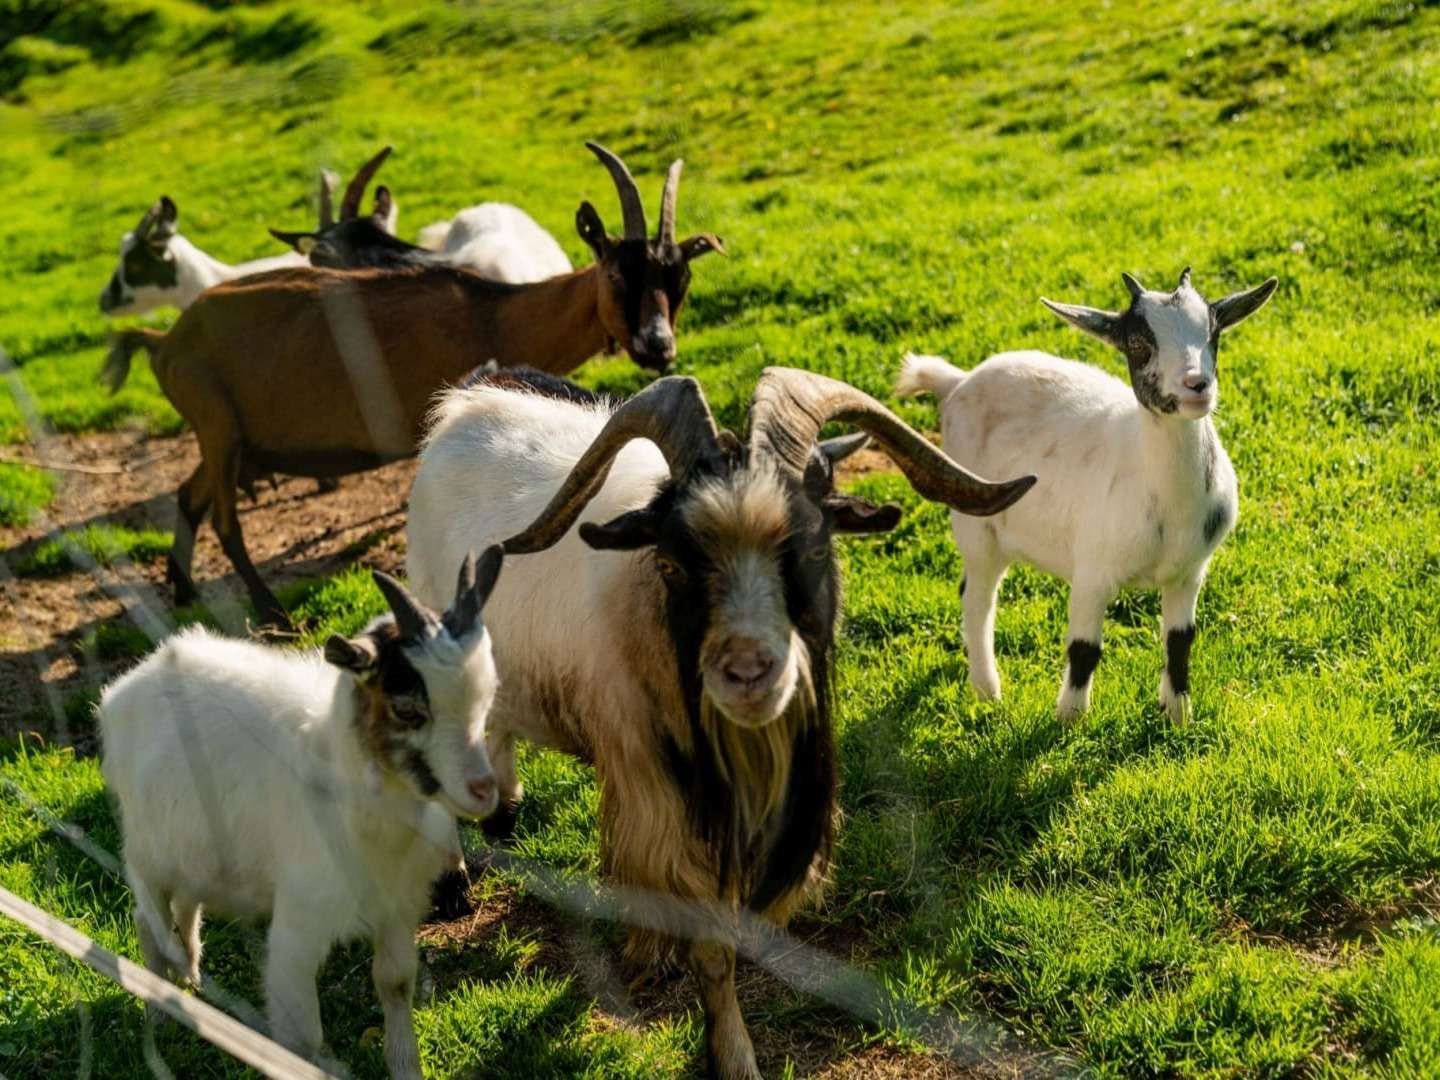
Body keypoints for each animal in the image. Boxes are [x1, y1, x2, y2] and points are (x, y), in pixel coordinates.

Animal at [98, 552, 504, 1077]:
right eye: (406, 708)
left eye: (486, 699)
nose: (483, 791)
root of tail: (123, 690)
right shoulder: (297, 927)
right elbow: (303, 1041)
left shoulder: (397, 907)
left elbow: (395, 983)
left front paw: (404, 1066)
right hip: (146, 852)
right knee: (147, 920)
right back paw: (160, 1012)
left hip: (194, 853)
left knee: (184, 909)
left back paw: (188, 975)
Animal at [104, 148, 720, 630]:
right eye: (616, 274)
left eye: (680, 279)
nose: (657, 346)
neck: (493, 313)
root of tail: (164, 340)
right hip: (218, 427)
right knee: (225, 521)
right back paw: (269, 609)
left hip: (227, 436)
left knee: (190, 495)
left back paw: (183, 590)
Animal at [892, 269, 1278, 728]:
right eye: (1138, 344)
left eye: (1213, 334)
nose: (1196, 386)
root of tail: (957, 381)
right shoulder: (1092, 571)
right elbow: (1084, 649)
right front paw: (1068, 721)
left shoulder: (1189, 572)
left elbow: (1180, 641)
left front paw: (1177, 714)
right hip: (974, 518)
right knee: (978, 598)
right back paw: (987, 690)